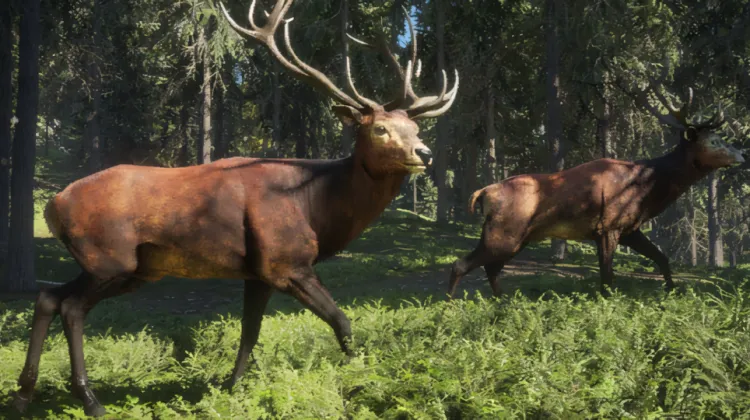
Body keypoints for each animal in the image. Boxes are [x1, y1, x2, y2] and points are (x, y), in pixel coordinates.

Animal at [12, 0, 458, 416]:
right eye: (380, 129)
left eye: (415, 127)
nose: (424, 153)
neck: (316, 206)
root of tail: (53, 204)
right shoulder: (286, 262)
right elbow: (342, 320)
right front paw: (362, 379)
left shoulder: (257, 273)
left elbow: (249, 332)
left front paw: (232, 387)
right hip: (110, 258)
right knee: (71, 307)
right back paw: (90, 399)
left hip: (129, 267)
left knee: (48, 297)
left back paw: (23, 394)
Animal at [449, 80, 744, 299]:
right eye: (715, 141)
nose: (741, 154)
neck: (648, 190)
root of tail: (482, 193)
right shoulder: (607, 227)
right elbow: (607, 276)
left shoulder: (630, 229)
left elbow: (662, 258)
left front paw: (671, 291)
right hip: (503, 233)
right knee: (461, 264)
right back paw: (450, 305)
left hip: (515, 238)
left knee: (491, 268)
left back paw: (503, 301)